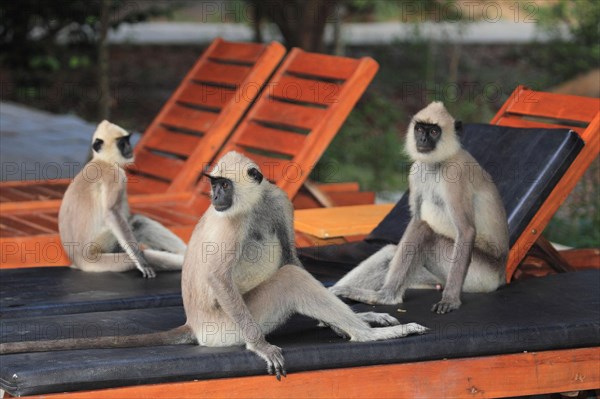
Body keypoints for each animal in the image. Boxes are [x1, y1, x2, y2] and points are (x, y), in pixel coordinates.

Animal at [2, 152, 428, 380]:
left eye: (222, 184)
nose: (214, 195)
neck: (252, 205)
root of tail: (194, 325)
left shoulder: (278, 201)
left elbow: (291, 255)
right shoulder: (230, 222)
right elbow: (219, 277)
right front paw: (262, 347)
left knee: (290, 268)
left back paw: (358, 326)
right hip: (227, 328)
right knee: (289, 279)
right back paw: (367, 337)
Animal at [59, 122, 186, 278]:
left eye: (127, 141)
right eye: (122, 143)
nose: (130, 148)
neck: (103, 160)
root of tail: (79, 261)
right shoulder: (115, 176)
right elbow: (112, 213)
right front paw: (142, 263)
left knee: (139, 223)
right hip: (100, 252)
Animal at [330, 101, 508, 314]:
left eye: (434, 131)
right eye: (420, 129)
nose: (422, 138)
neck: (436, 163)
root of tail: (502, 276)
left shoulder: (455, 175)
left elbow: (465, 231)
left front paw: (450, 299)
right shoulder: (416, 171)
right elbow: (415, 220)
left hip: (478, 276)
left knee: (426, 229)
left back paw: (386, 297)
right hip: (438, 277)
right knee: (394, 250)